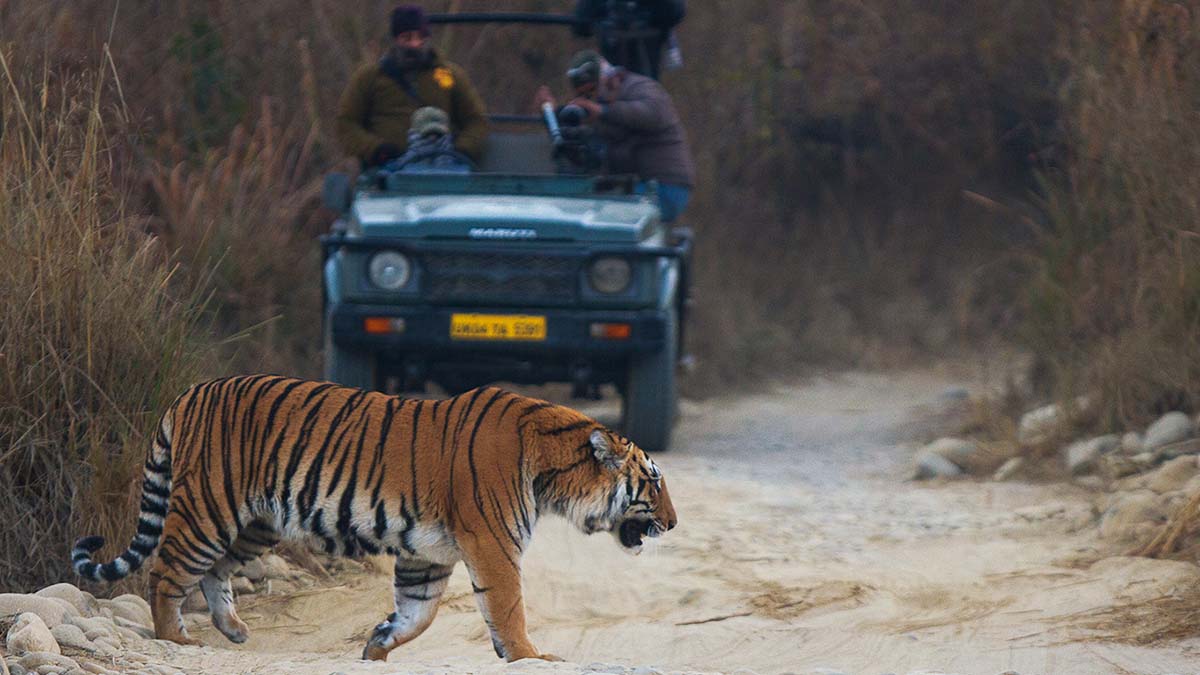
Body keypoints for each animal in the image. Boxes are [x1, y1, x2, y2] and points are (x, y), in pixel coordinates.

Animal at [70, 374, 681, 658]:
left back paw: (234, 629)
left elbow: (419, 615)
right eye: (653, 481)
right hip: (208, 509)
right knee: (166, 572)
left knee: (215, 571)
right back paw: (177, 638)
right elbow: (507, 608)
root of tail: (191, 391)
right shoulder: (492, 545)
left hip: (256, 523)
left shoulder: (427, 556)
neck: (552, 471)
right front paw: (531, 656)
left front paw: (378, 643)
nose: (674, 523)